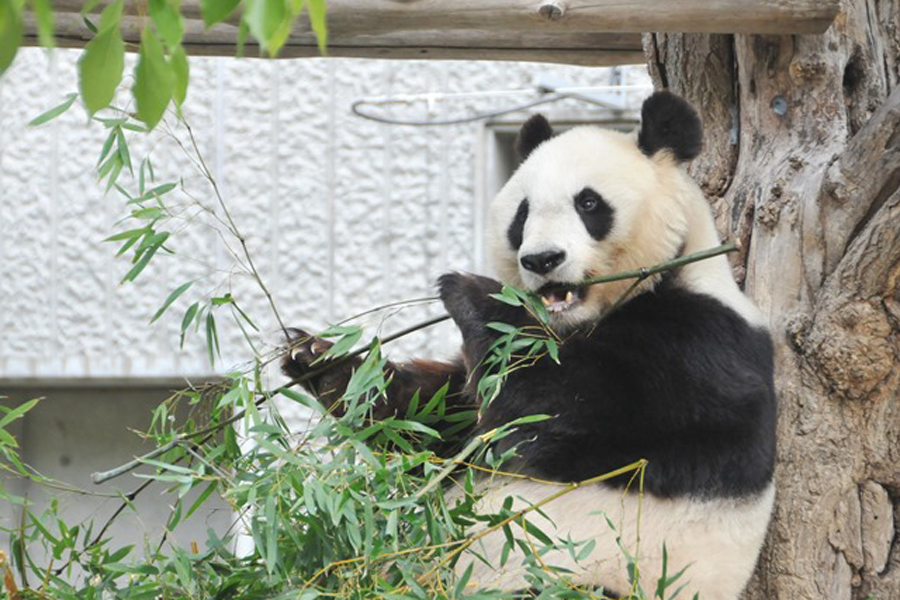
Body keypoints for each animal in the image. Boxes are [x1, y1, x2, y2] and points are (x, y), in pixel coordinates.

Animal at [284, 91, 776, 600]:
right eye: (522, 214)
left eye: (588, 203)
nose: (542, 259)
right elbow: (433, 422)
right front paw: (317, 358)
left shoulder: (701, 348)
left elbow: (551, 402)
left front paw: (471, 291)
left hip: (585, 582)